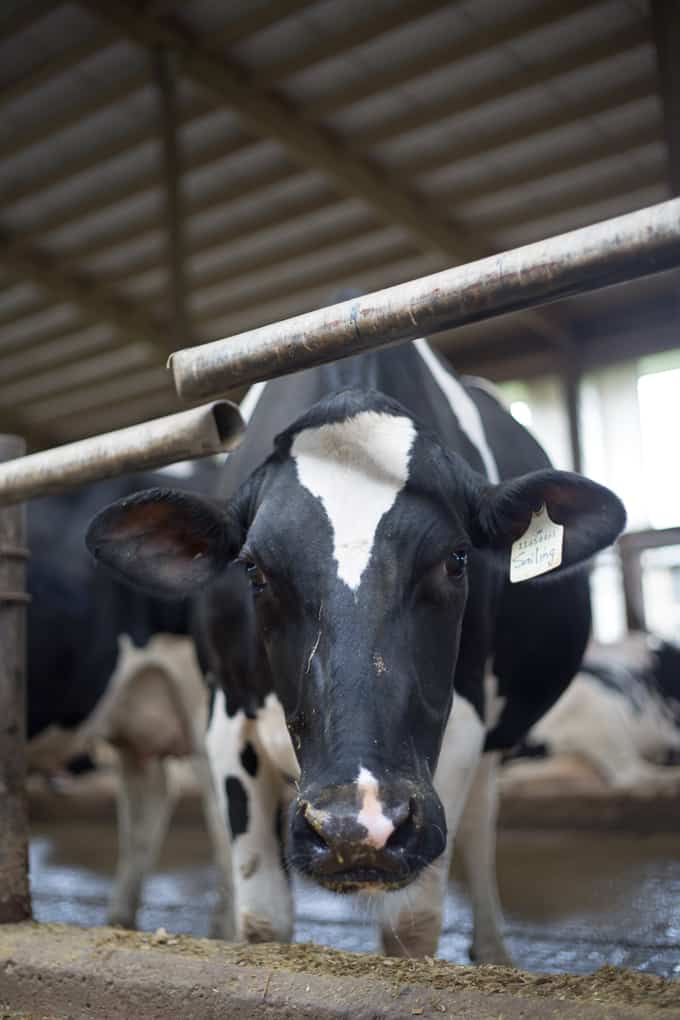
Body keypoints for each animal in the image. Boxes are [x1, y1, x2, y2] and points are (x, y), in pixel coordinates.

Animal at [87, 337, 626, 962]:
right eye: (254, 571)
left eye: (457, 558)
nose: (355, 826)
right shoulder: (226, 720)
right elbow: (264, 918)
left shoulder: (461, 726)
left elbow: (411, 924)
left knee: (478, 828)